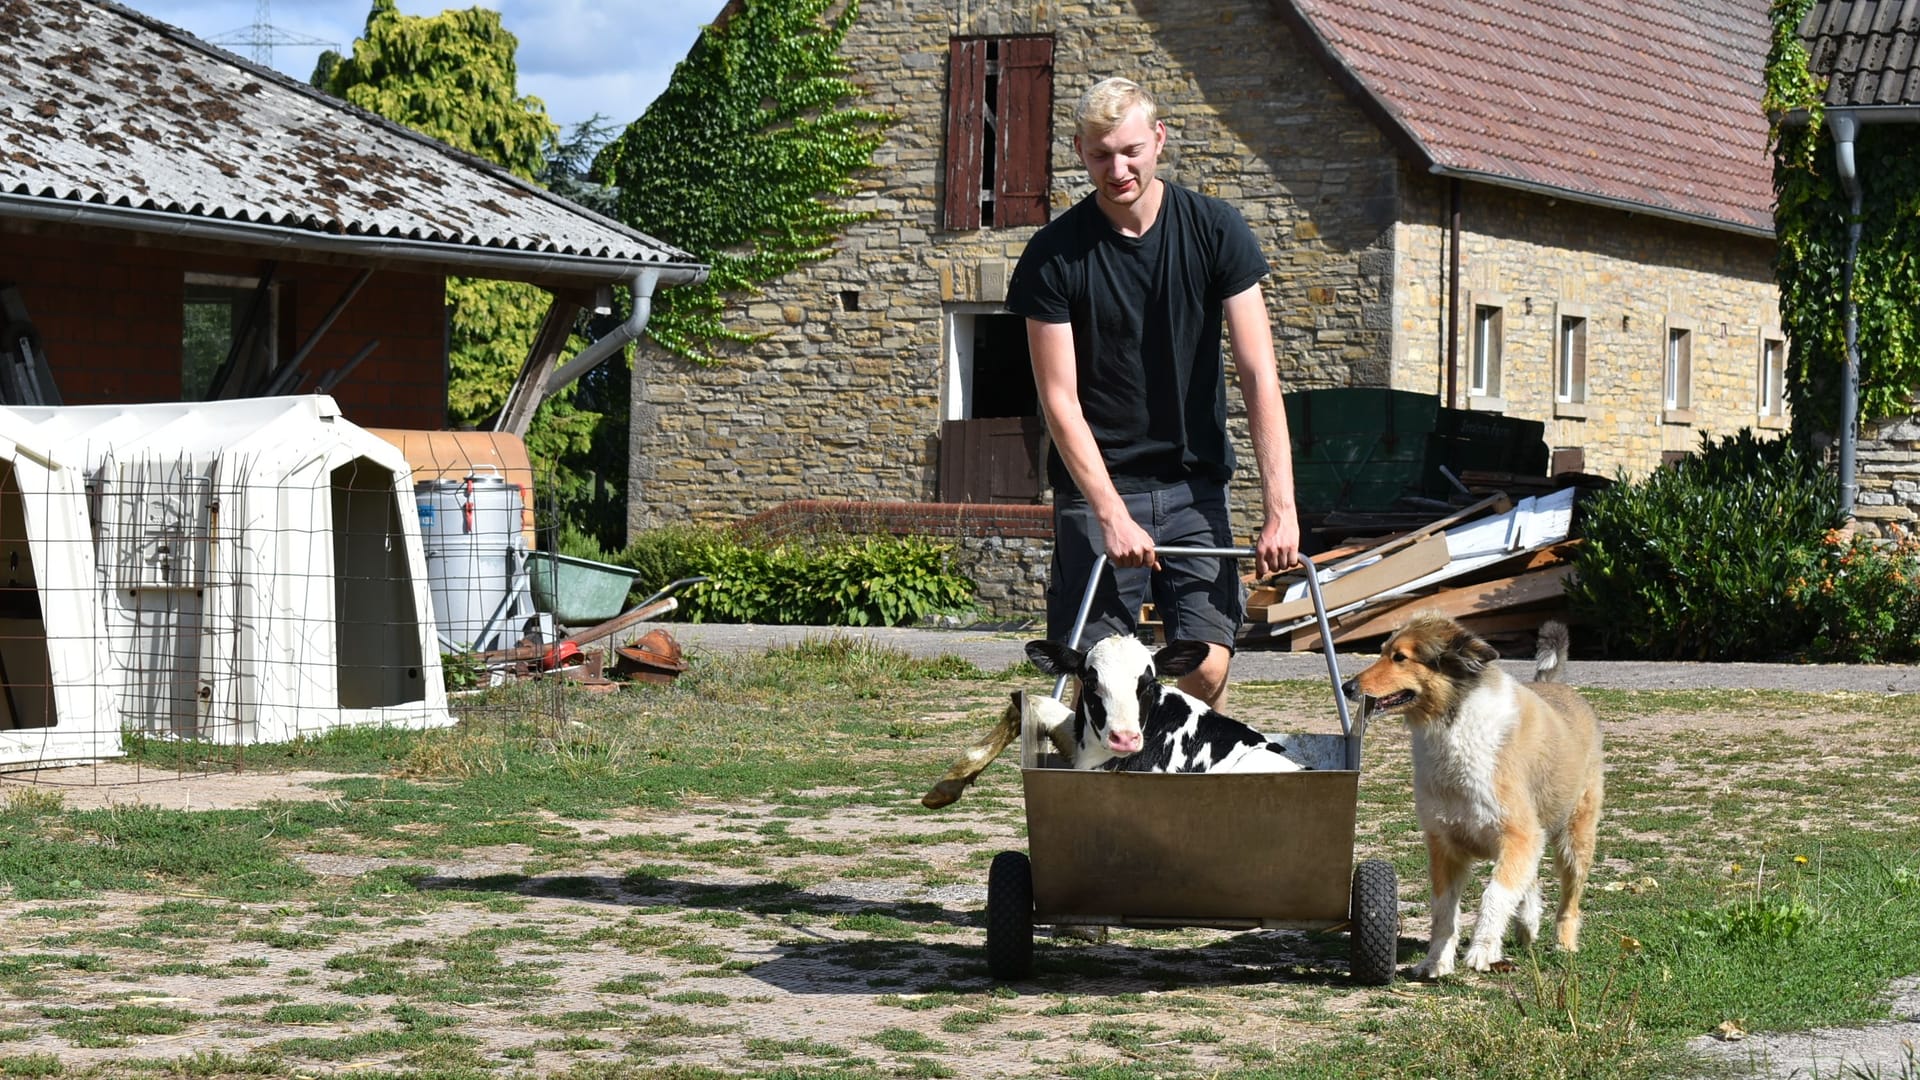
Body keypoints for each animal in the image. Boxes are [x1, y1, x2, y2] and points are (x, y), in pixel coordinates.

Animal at [1351, 614, 1605, 976]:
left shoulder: (1518, 834)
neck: (1451, 727)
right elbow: (1443, 911)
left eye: (1400, 657)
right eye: (1383, 651)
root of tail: (1556, 686)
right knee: (1530, 882)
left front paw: (1482, 951)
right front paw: (1436, 961)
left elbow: (1494, 895)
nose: (1348, 687)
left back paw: (1564, 944)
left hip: (1575, 840)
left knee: (1569, 900)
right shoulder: (1444, 844)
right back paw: (1527, 924)